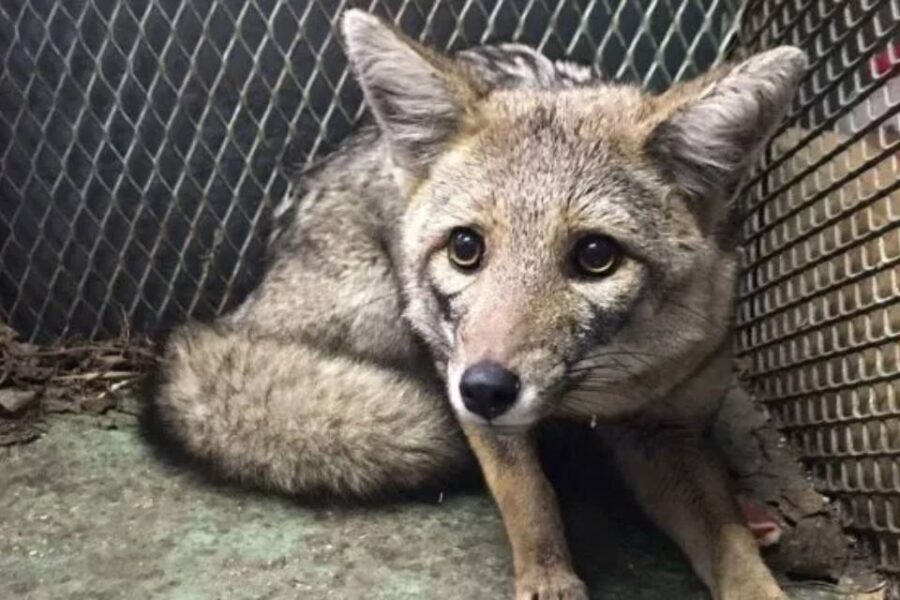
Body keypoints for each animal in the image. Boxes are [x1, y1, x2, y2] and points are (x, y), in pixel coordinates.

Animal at [150, 9, 807, 600]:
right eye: (466, 248)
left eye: (596, 256)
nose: (485, 389)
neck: (599, 394)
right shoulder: (463, 375)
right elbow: (529, 497)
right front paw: (548, 579)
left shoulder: (668, 429)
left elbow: (728, 544)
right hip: (383, 311)